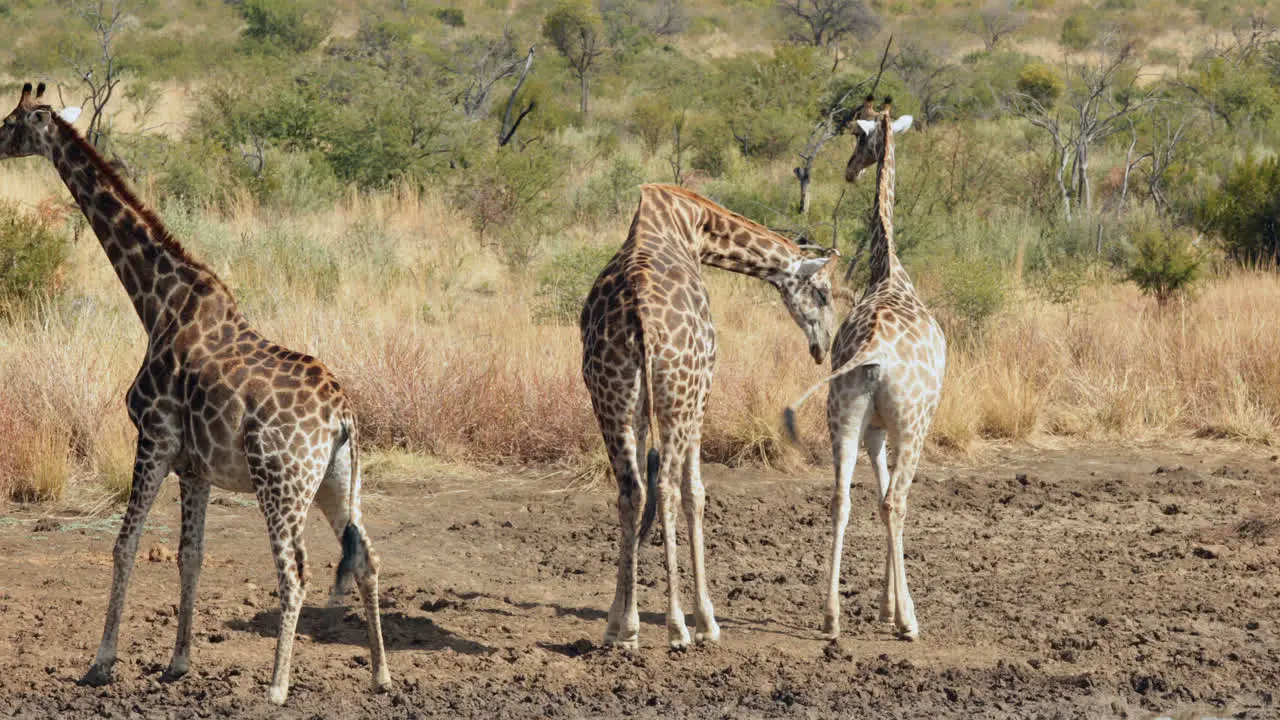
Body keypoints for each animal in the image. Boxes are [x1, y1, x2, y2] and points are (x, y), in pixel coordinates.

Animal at [0, 82, 389, 702]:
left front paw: (101, 663)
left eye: (12, 121)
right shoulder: (195, 467)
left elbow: (125, 545)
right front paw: (178, 663)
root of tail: (343, 415)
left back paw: (277, 687)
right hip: (337, 483)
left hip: (281, 483)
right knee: (368, 559)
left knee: (295, 572)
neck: (156, 301)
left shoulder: (153, 439)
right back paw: (380, 673)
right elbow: (190, 556)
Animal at [581, 181, 839, 648]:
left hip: (610, 401)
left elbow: (640, 496)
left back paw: (627, 630)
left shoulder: (637, 410)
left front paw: (617, 618)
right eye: (823, 292)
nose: (823, 346)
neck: (694, 226)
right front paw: (706, 620)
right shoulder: (704, 394)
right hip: (680, 400)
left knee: (631, 491)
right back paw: (677, 627)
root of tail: (640, 320)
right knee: (667, 487)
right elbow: (696, 493)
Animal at [778, 96, 952, 638]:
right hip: (914, 422)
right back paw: (909, 625)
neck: (888, 270)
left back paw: (831, 617)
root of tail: (871, 351)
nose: (851, 170)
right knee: (897, 501)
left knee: (840, 498)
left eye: (859, 138)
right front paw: (898, 610)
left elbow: (871, 493)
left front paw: (884, 605)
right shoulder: (903, 424)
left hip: (843, 415)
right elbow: (889, 498)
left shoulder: (874, 427)